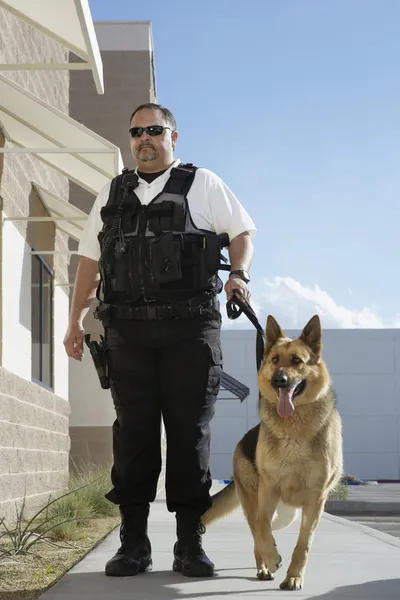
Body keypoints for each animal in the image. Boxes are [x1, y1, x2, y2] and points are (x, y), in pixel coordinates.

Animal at [205, 314, 342, 592]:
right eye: (275, 359)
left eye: (297, 361)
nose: (279, 381)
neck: (294, 430)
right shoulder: (268, 488)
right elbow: (261, 526)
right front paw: (272, 558)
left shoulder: (316, 497)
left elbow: (304, 543)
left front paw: (294, 577)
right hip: (254, 495)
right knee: (257, 528)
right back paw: (264, 566)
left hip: (290, 511)